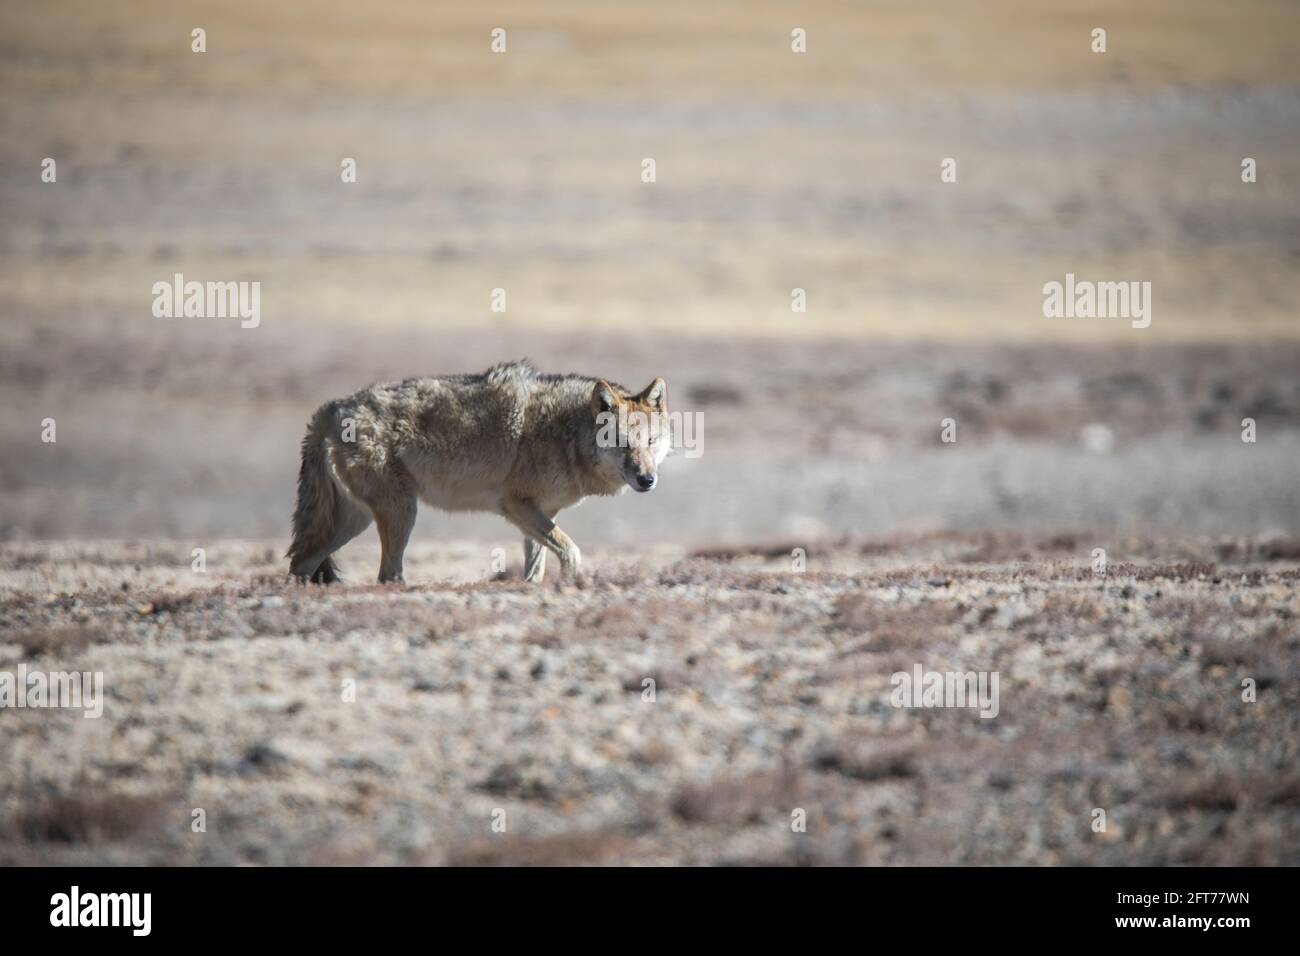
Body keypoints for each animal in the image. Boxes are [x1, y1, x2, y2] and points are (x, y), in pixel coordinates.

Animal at [284, 358, 670, 582]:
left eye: (650, 442)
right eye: (621, 442)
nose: (647, 480)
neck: (565, 434)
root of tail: (331, 408)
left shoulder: (542, 512)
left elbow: (536, 567)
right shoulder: (515, 505)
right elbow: (570, 551)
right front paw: (572, 582)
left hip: (355, 521)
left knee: (300, 562)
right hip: (401, 513)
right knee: (387, 575)